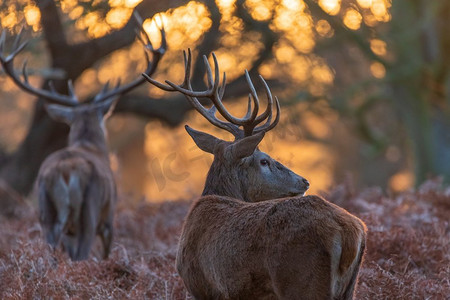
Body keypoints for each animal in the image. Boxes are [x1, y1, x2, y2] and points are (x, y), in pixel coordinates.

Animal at [0, 15, 166, 260]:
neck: (88, 144)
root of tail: (65, 171)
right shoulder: (109, 217)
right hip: (89, 211)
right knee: (82, 255)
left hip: (45, 211)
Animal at [146, 50, 368, 298]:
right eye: (264, 160)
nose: (305, 181)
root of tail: (350, 232)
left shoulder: (201, 287)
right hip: (349, 287)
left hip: (301, 281)